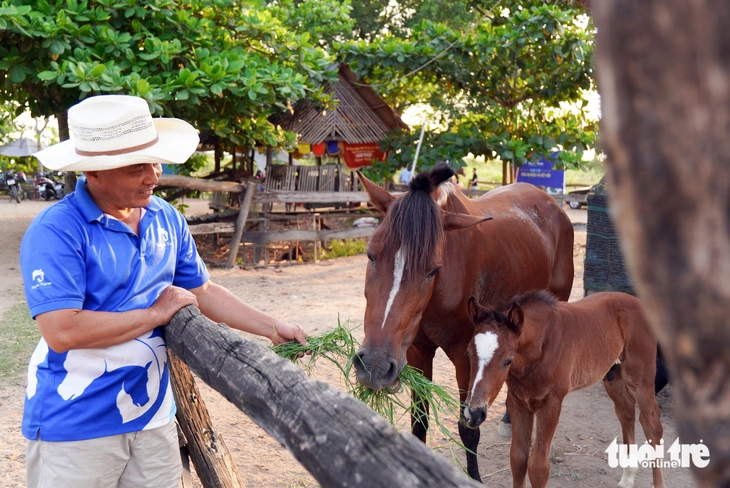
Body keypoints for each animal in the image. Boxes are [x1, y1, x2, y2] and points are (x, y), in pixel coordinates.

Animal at [354, 164, 576, 480]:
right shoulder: (418, 353)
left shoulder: (465, 357)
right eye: (371, 255)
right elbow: (419, 421)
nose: (374, 366)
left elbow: (468, 429)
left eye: (433, 270)